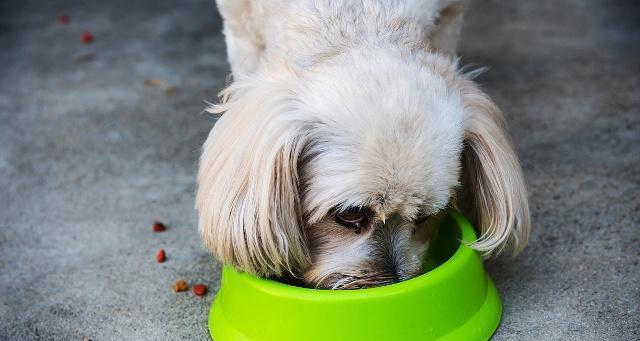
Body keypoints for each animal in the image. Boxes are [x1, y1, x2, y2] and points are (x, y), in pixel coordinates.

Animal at [195, 0, 528, 288]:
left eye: (425, 216)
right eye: (350, 215)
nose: (393, 283)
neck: (359, 21)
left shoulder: (449, 15)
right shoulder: (240, 28)